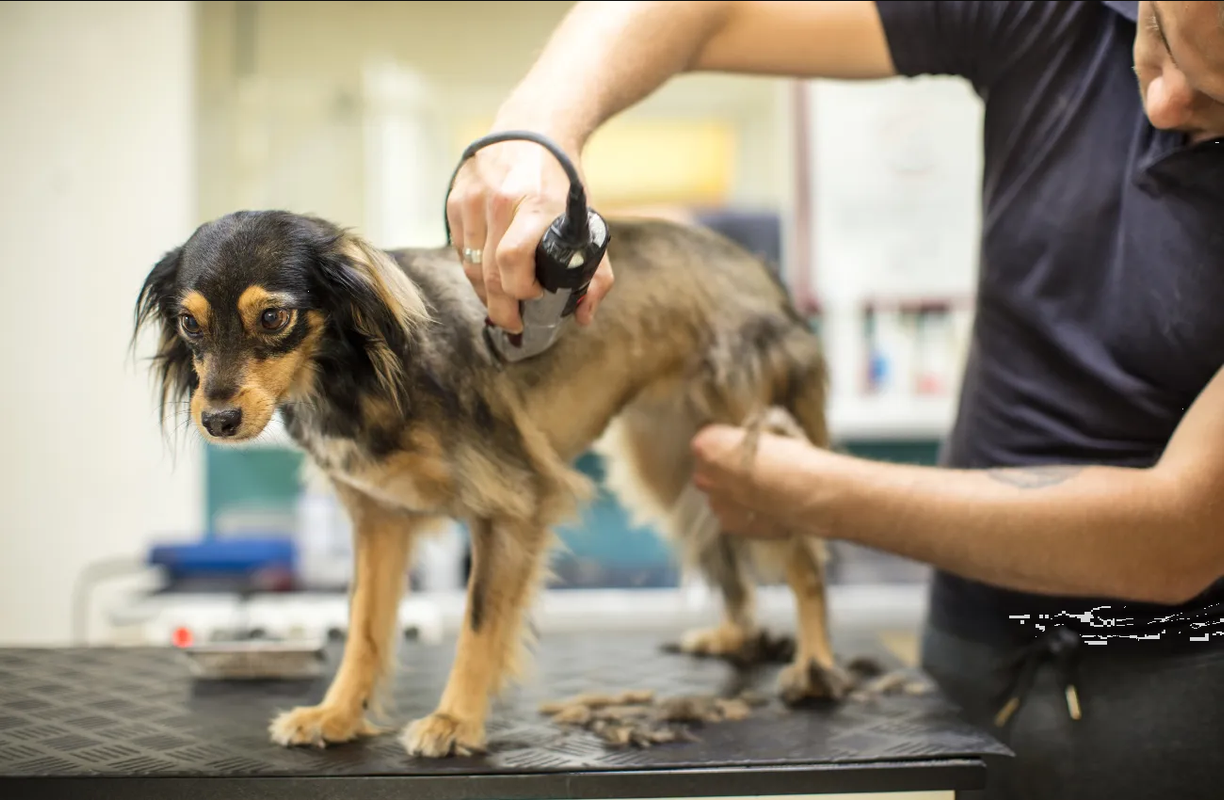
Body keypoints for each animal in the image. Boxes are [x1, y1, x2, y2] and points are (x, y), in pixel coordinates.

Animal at [131, 210, 842, 763]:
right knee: (723, 543)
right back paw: (737, 634)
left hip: (752, 453)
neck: (356, 370)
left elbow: (478, 624)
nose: (217, 419)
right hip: (678, 463)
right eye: (189, 324)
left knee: (806, 560)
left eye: (275, 317)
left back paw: (814, 667)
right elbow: (364, 628)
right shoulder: (379, 520)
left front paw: (455, 721)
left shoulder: (511, 508)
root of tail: (758, 269)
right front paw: (338, 714)